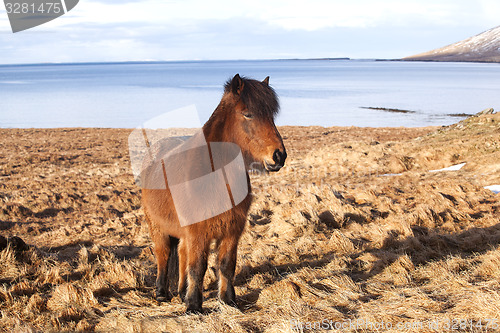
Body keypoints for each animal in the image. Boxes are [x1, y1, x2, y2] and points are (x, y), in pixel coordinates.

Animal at [143, 74, 288, 312]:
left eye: (272, 115)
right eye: (248, 113)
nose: (279, 156)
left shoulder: (232, 230)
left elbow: (226, 265)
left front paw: (228, 300)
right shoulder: (198, 232)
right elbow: (198, 267)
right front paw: (194, 306)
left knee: (181, 253)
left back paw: (181, 292)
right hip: (158, 227)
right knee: (163, 255)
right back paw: (162, 293)